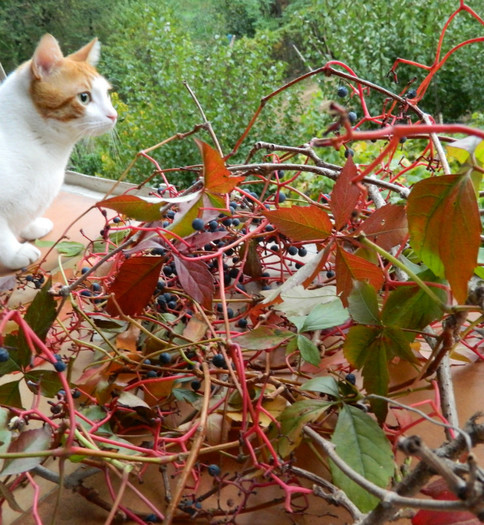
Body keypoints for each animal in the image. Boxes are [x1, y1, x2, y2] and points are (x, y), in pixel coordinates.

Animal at [0, 34, 116, 270]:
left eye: (107, 94)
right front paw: (15, 253)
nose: (114, 115)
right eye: (84, 97)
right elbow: (2, 235)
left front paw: (31, 226)